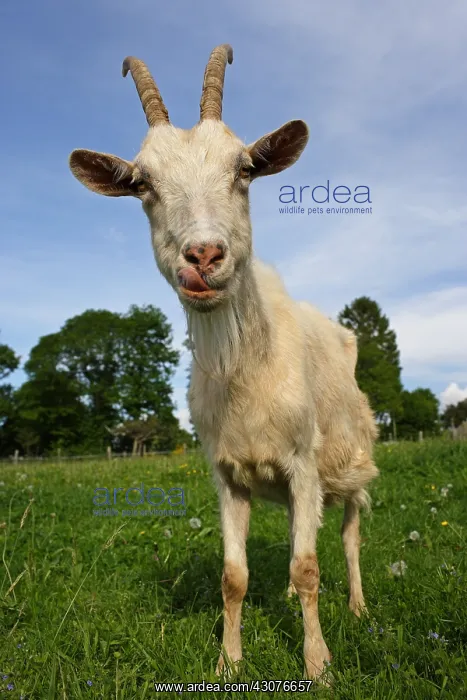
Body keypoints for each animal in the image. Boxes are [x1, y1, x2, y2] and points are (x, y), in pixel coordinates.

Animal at [69, 44, 379, 681]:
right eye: (142, 184)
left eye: (244, 170)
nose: (204, 256)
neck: (248, 372)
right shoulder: (227, 474)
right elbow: (234, 576)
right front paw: (228, 664)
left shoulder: (303, 463)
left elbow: (309, 567)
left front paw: (317, 664)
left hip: (351, 464)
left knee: (348, 534)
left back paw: (359, 607)